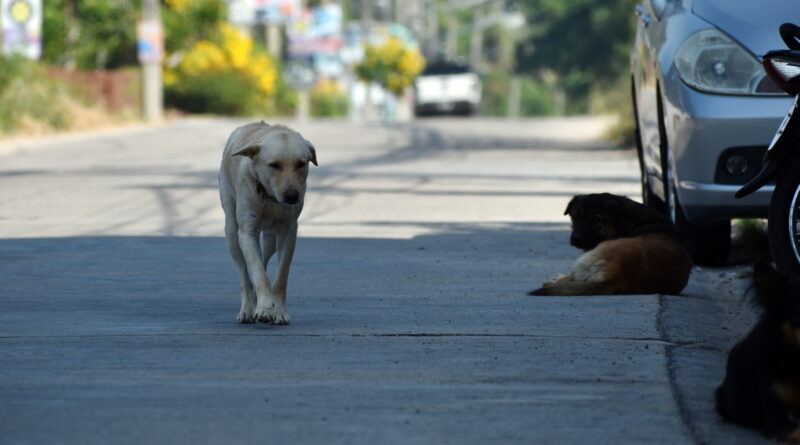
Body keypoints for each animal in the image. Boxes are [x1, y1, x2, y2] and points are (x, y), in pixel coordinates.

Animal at [222, 121, 318, 322]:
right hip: (232, 234)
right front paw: (265, 308)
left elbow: (280, 276)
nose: (292, 196)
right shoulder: (247, 233)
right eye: (274, 165)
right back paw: (247, 308)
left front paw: (278, 311)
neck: (270, 197)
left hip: (270, 239)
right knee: (245, 273)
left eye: (301, 164)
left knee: (264, 258)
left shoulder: (288, 232)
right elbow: (258, 273)